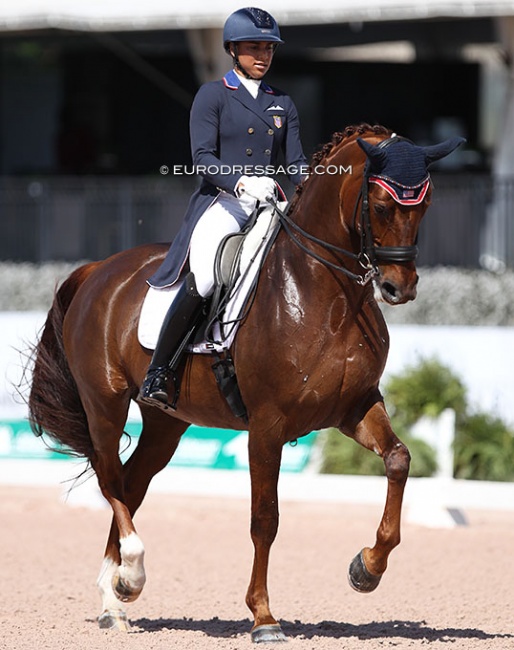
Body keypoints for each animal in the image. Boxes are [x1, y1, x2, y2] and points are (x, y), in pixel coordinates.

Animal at [27, 124, 460, 640]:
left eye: (425, 205)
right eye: (380, 205)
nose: (400, 288)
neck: (327, 294)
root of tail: (98, 269)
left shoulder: (354, 408)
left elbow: (398, 459)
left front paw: (366, 568)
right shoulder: (267, 426)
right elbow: (264, 518)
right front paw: (264, 617)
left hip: (166, 421)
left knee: (133, 482)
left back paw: (116, 596)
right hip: (105, 403)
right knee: (110, 477)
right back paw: (131, 571)